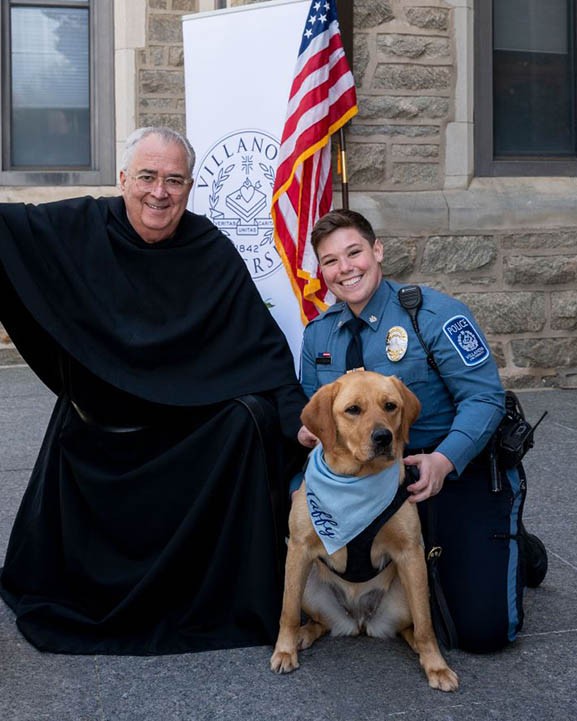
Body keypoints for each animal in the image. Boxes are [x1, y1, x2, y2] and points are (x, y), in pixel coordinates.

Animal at [272, 372, 460, 692]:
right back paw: (302, 635)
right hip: (308, 584)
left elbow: (426, 625)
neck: (356, 482)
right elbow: (287, 612)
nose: (383, 437)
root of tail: (360, 621)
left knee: (412, 626)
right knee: (317, 620)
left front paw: (437, 666)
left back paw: (420, 649)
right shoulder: (298, 548)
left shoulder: (410, 552)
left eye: (390, 406)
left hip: (411, 591)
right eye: (353, 410)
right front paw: (284, 650)